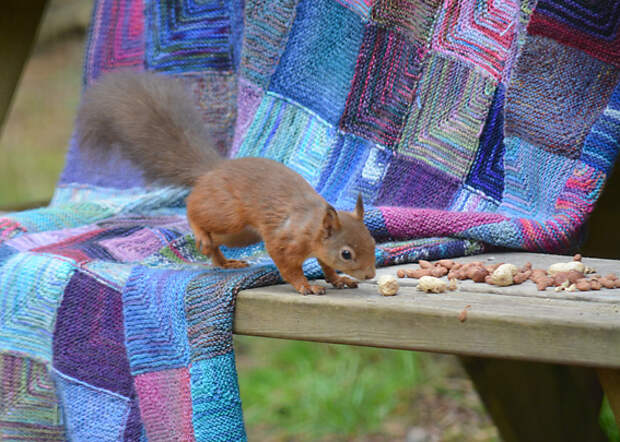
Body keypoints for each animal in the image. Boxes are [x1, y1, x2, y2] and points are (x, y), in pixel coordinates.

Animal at [75, 71, 376, 294]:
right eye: (347, 253)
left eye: (373, 242)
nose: (371, 274)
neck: (311, 226)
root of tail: (213, 170)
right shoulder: (283, 240)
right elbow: (287, 266)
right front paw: (305, 285)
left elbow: (326, 266)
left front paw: (339, 280)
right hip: (228, 214)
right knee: (193, 210)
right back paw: (201, 234)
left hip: (240, 234)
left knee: (216, 238)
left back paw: (222, 260)